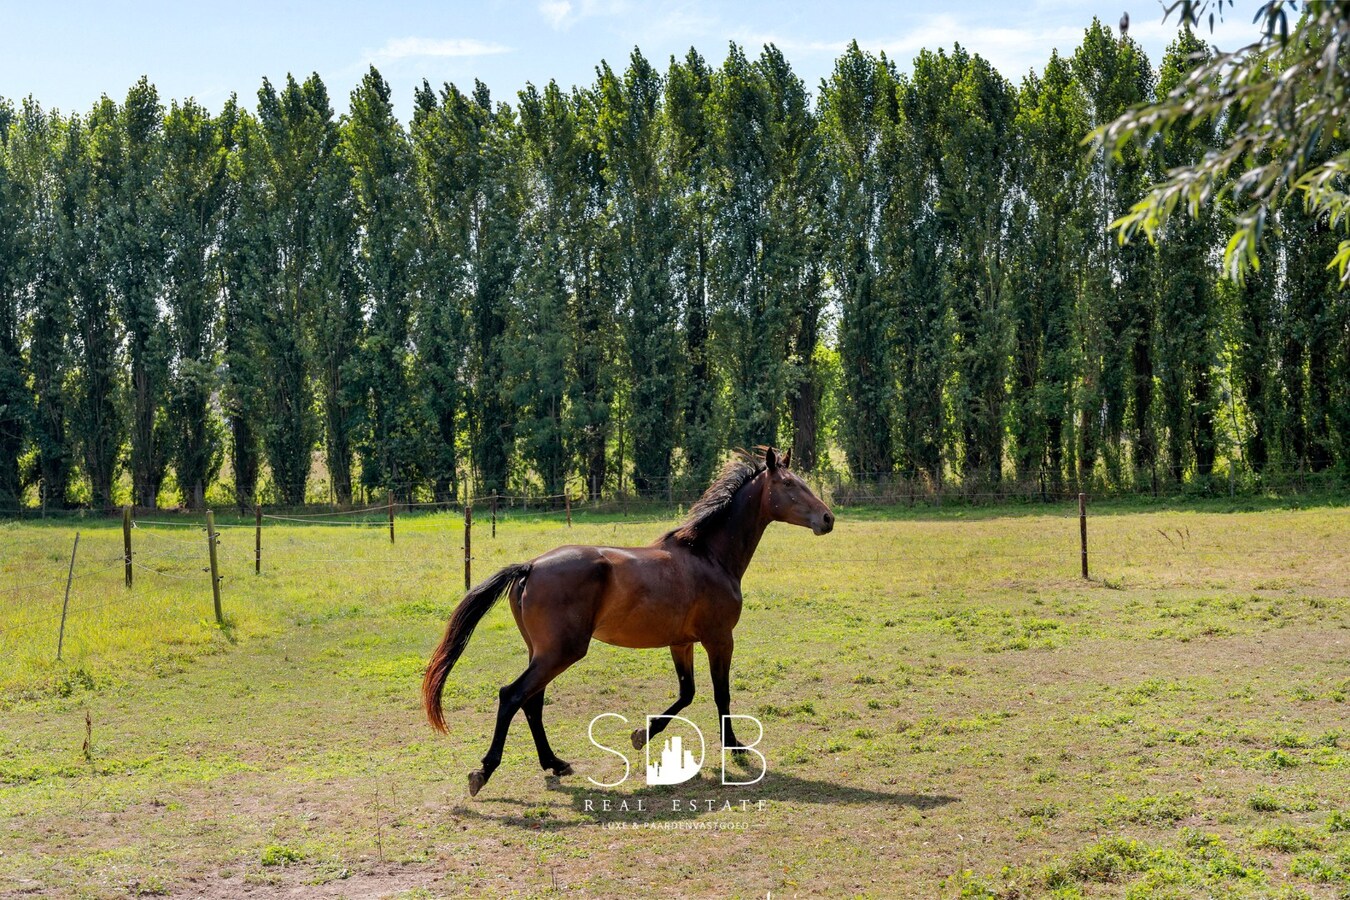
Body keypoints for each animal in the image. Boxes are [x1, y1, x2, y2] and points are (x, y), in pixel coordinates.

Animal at [421, 446, 835, 797]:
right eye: (789, 485)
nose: (827, 518)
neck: (709, 556)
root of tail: (531, 566)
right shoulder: (719, 639)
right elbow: (721, 694)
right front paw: (735, 747)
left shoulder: (681, 642)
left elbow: (687, 693)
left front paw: (642, 734)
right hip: (561, 652)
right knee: (512, 695)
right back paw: (484, 772)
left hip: (542, 652)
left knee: (531, 701)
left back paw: (555, 764)